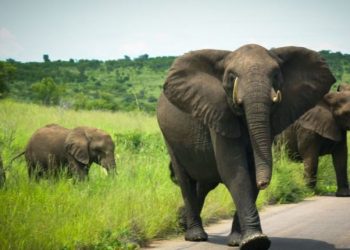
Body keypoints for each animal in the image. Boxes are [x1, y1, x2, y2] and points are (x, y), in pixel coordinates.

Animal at [157, 44, 334, 249]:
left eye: (276, 75)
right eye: (232, 77)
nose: (263, 183)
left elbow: (250, 172)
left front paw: (239, 240)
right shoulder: (218, 112)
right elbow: (235, 170)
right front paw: (255, 241)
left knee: (204, 183)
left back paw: (184, 222)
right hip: (168, 137)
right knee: (185, 181)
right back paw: (195, 236)